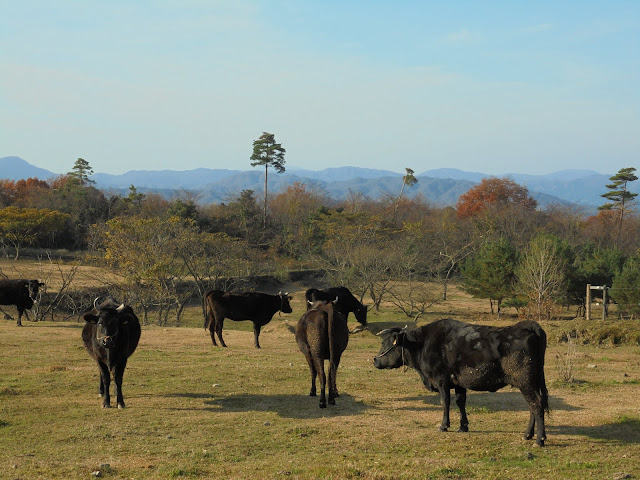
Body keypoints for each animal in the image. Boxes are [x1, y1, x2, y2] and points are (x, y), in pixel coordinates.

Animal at [376, 318, 552, 446]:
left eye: (385, 343)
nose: (375, 360)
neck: (423, 343)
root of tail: (527, 325)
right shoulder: (459, 383)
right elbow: (460, 402)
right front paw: (463, 426)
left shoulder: (441, 379)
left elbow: (445, 402)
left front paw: (444, 425)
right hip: (532, 382)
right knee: (533, 405)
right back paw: (527, 434)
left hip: (525, 382)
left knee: (536, 404)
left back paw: (539, 439)